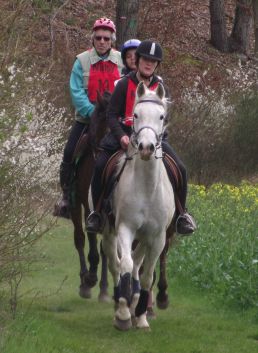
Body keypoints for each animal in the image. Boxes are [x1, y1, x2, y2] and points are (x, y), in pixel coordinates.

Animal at [100, 82, 175, 330]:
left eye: (161, 116)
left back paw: (135, 307)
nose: (146, 148)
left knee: (137, 265)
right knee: (116, 263)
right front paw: (123, 314)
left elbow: (146, 275)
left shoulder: (158, 236)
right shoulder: (125, 228)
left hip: (145, 237)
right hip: (109, 230)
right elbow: (124, 265)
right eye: (135, 115)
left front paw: (141, 315)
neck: (147, 188)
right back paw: (120, 304)